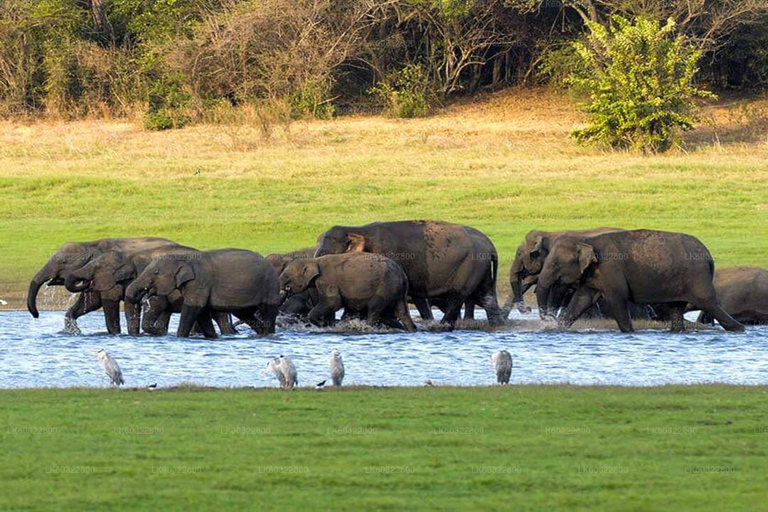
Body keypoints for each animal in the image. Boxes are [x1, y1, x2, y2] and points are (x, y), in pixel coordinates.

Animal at [27, 237, 177, 334]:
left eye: (64, 262)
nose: (36, 316)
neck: (90, 245)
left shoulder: (110, 275)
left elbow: (107, 301)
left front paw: (114, 334)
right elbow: (92, 302)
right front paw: (73, 331)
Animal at [125, 249, 280, 337]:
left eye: (156, 273)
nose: (143, 295)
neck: (182, 257)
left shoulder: (199, 282)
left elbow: (193, 308)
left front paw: (180, 337)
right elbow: (202, 312)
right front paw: (212, 337)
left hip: (270, 286)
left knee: (268, 313)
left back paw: (268, 334)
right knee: (245, 314)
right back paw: (260, 333)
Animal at [279, 252, 416, 331]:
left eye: (286, 276)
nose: (285, 290)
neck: (314, 260)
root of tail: (403, 275)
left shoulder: (327, 281)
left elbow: (333, 302)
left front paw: (322, 324)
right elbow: (331, 306)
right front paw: (328, 326)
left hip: (385, 287)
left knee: (374, 309)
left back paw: (369, 327)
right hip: (397, 290)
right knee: (401, 312)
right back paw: (408, 329)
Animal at [315, 221, 504, 326]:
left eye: (326, 255)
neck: (358, 230)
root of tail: (492, 247)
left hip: (471, 265)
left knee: (458, 297)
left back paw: (442, 326)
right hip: (481, 268)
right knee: (488, 299)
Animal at [536, 229, 744, 333]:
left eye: (555, 264)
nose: (548, 319)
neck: (587, 240)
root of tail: (709, 256)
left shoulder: (610, 270)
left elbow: (617, 299)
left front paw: (630, 332)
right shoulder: (593, 275)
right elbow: (581, 300)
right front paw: (559, 328)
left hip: (697, 276)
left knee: (709, 303)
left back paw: (738, 329)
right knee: (677, 308)